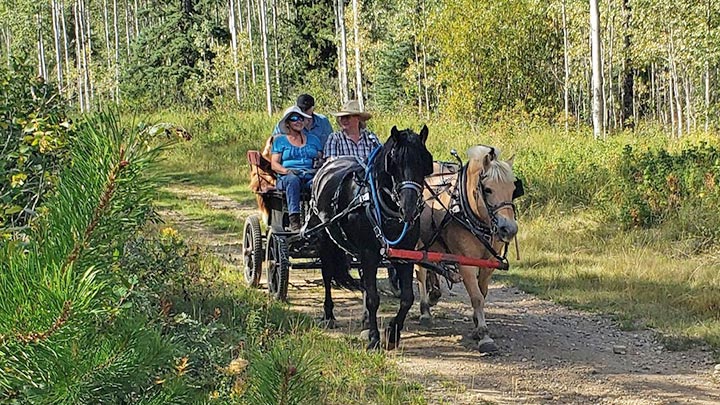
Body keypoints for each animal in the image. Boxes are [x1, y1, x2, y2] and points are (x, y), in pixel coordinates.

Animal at [306, 126, 434, 350]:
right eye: (394, 163)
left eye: (423, 162)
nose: (409, 208)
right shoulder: (369, 253)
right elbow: (374, 298)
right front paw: (374, 338)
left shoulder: (405, 255)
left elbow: (407, 298)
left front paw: (392, 333)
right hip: (325, 239)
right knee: (327, 274)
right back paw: (329, 315)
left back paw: (365, 319)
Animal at [415, 145, 519, 353]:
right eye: (487, 189)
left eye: (513, 189)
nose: (509, 229)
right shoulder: (465, 264)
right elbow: (477, 297)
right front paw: (485, 336)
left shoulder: (488, 263)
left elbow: (482, 293)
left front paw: (476, 323)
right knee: (420, 271)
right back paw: (425, 310)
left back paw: (433, 295)